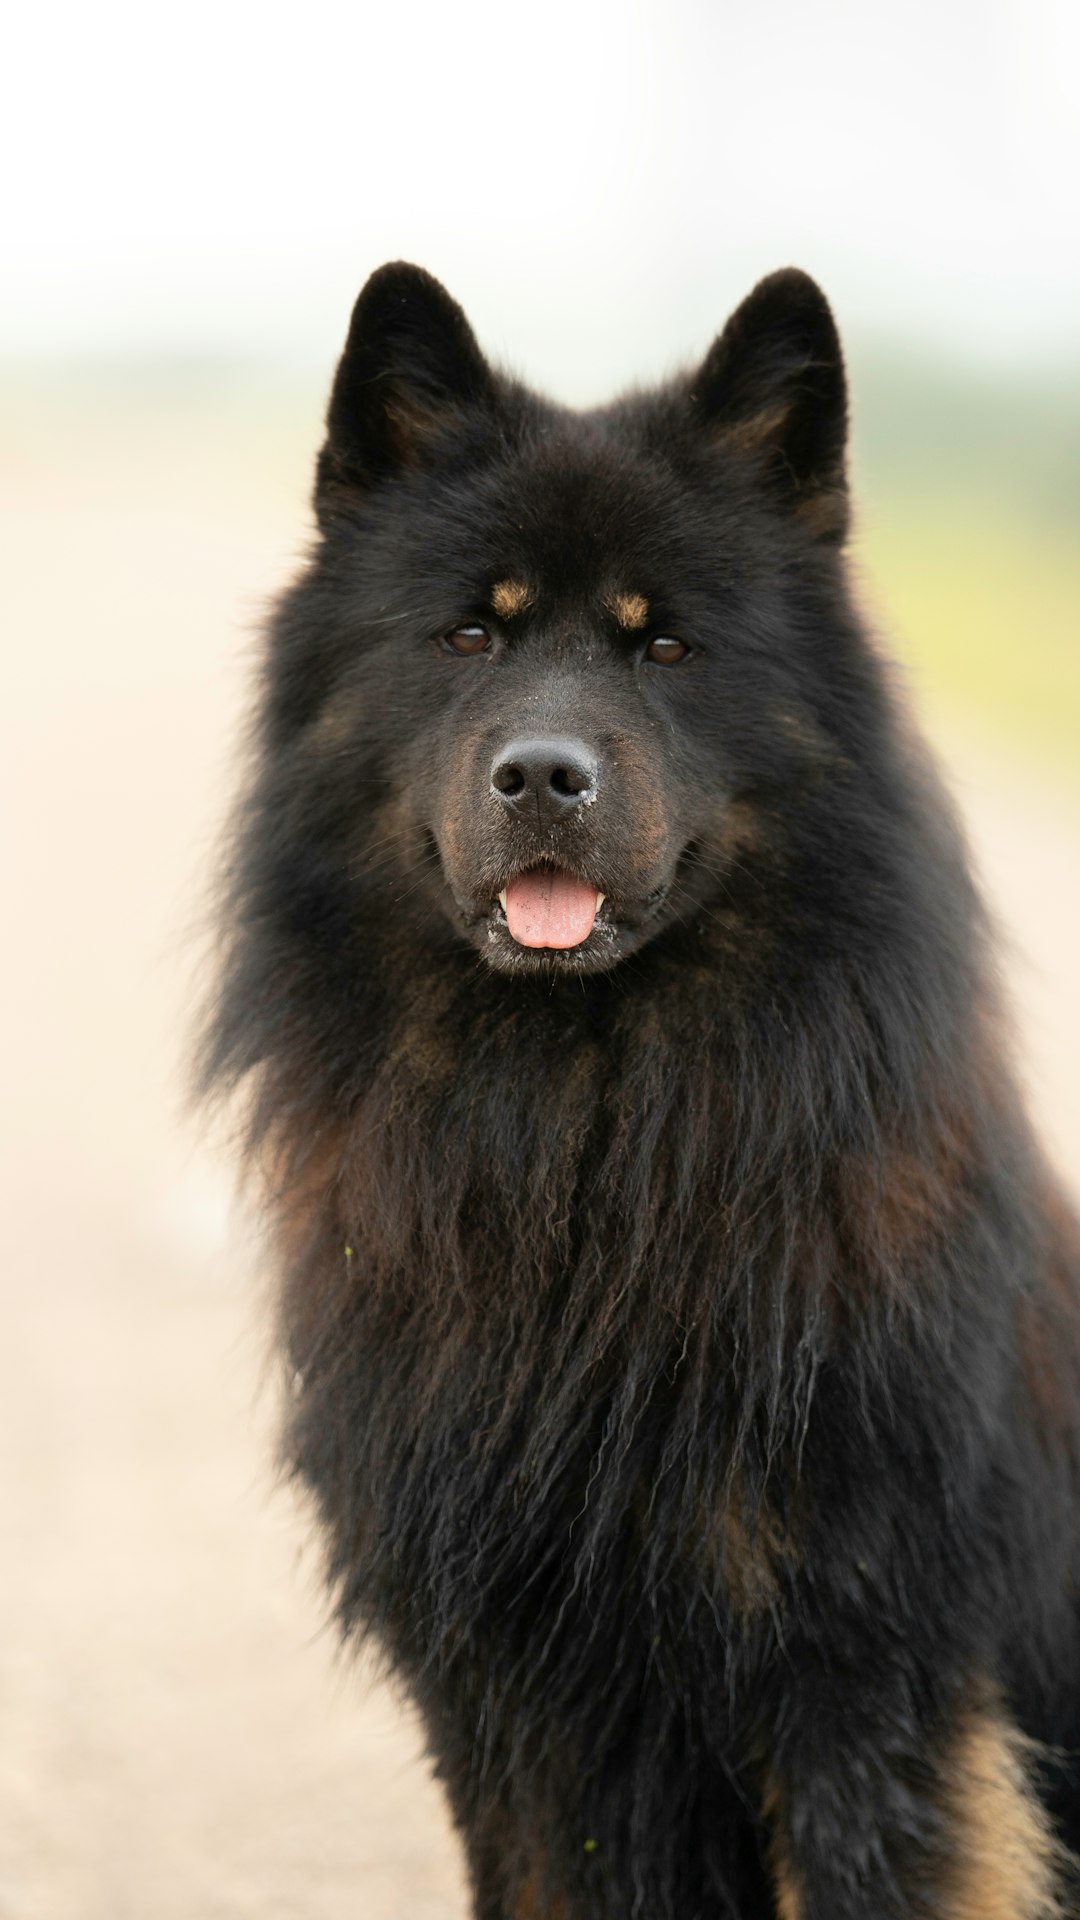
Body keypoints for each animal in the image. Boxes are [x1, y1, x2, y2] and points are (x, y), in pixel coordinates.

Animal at [208, 263, 1076, 1912]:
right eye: (467, 638)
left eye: (665, 648)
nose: (545, 777)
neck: (594, 1145)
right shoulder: (521, 1699)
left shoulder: (858, 1678)